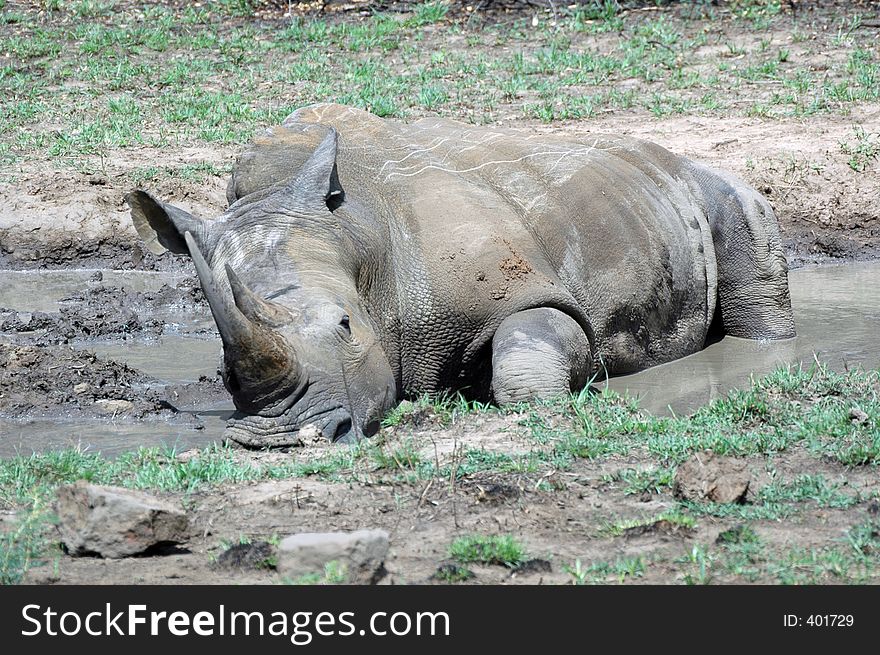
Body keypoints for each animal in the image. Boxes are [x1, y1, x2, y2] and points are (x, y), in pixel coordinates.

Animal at [129, 104, 796, 452]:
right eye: (224, 370)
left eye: (346, 326)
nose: (279, 441)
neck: (361, 243)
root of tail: (665, 153)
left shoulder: (531, 290)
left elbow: (532, 342)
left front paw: (554, 408)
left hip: (700, 181)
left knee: (739, 211)